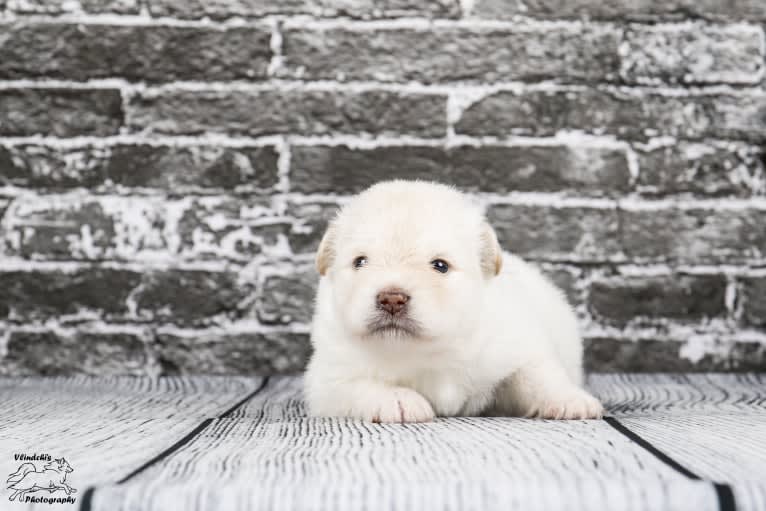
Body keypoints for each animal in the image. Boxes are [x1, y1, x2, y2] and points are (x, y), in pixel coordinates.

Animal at [306, 181, 608, 424]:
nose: (392, 299)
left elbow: (538, 375)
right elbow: (358, 385)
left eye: (440, 265)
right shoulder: (326, 379)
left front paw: (570, 400)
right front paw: (398, 399)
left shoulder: (517, 345)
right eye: (360, 262)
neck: (425, 352)